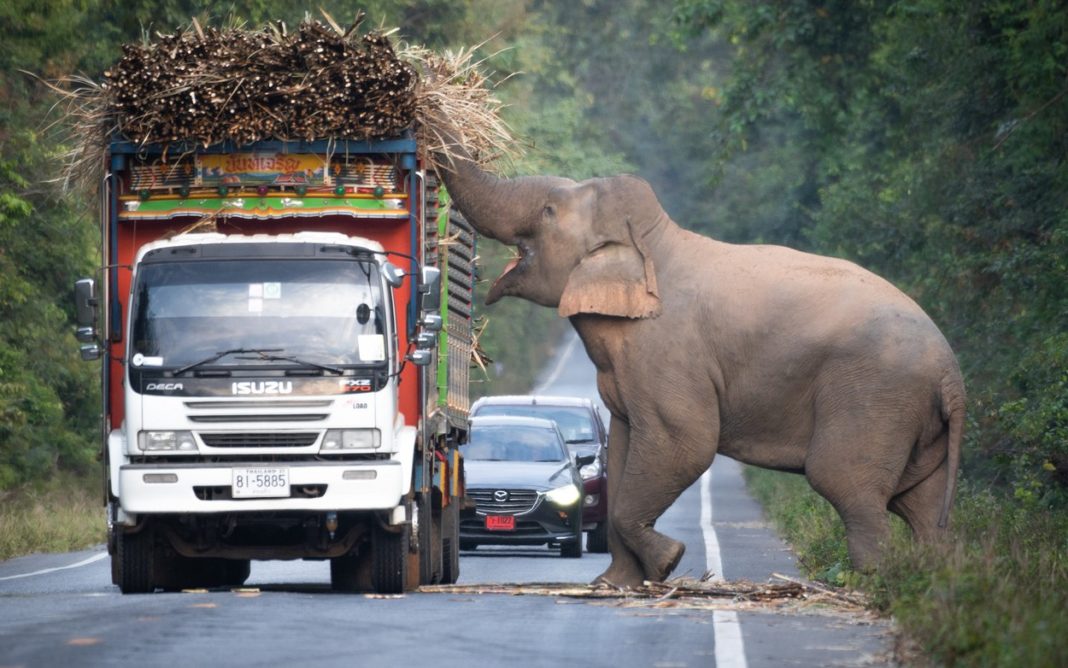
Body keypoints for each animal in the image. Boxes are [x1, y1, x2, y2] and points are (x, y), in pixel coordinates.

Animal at [433, 144, 969, 581]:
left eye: (548, 210)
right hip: (917, 423)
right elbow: (624, 448)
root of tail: (951, 372)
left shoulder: (667, 351)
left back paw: (866, 587)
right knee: (920, 507)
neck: (652, 241)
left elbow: (685, 442)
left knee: (847, 485)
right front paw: (613, 586)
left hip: (874, 397)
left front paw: (668, 563)